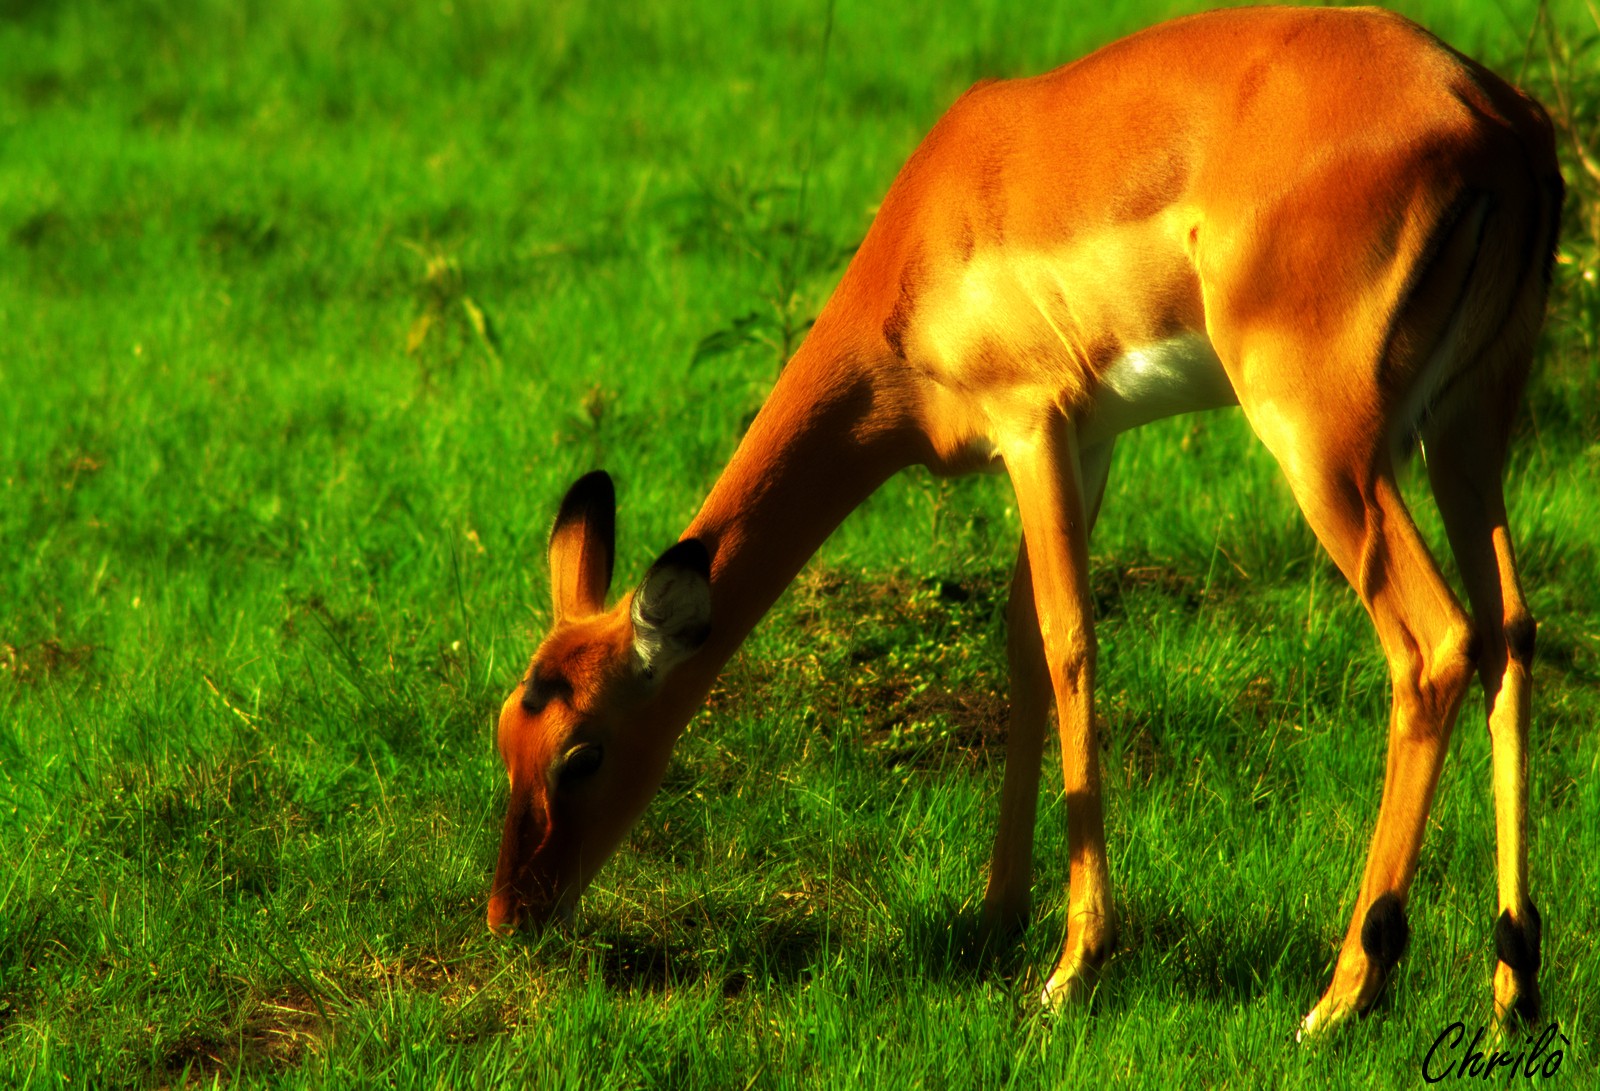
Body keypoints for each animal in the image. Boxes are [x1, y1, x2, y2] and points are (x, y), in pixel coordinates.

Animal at [487, 5, 1562, 1037]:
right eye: (505, 732)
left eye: (582, 750)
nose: (509, 914)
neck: (930, 230)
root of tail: (1493, 116)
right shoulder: (1089, 438)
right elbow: (1017, 648)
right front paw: (996, 913)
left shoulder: (1030, 422)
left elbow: (1065, 639)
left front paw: (1073, 965)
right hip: (1467, 427)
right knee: (1509, 627)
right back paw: (1511, 993)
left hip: (1323, 443)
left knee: (1434, 642)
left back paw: (1344, 993)